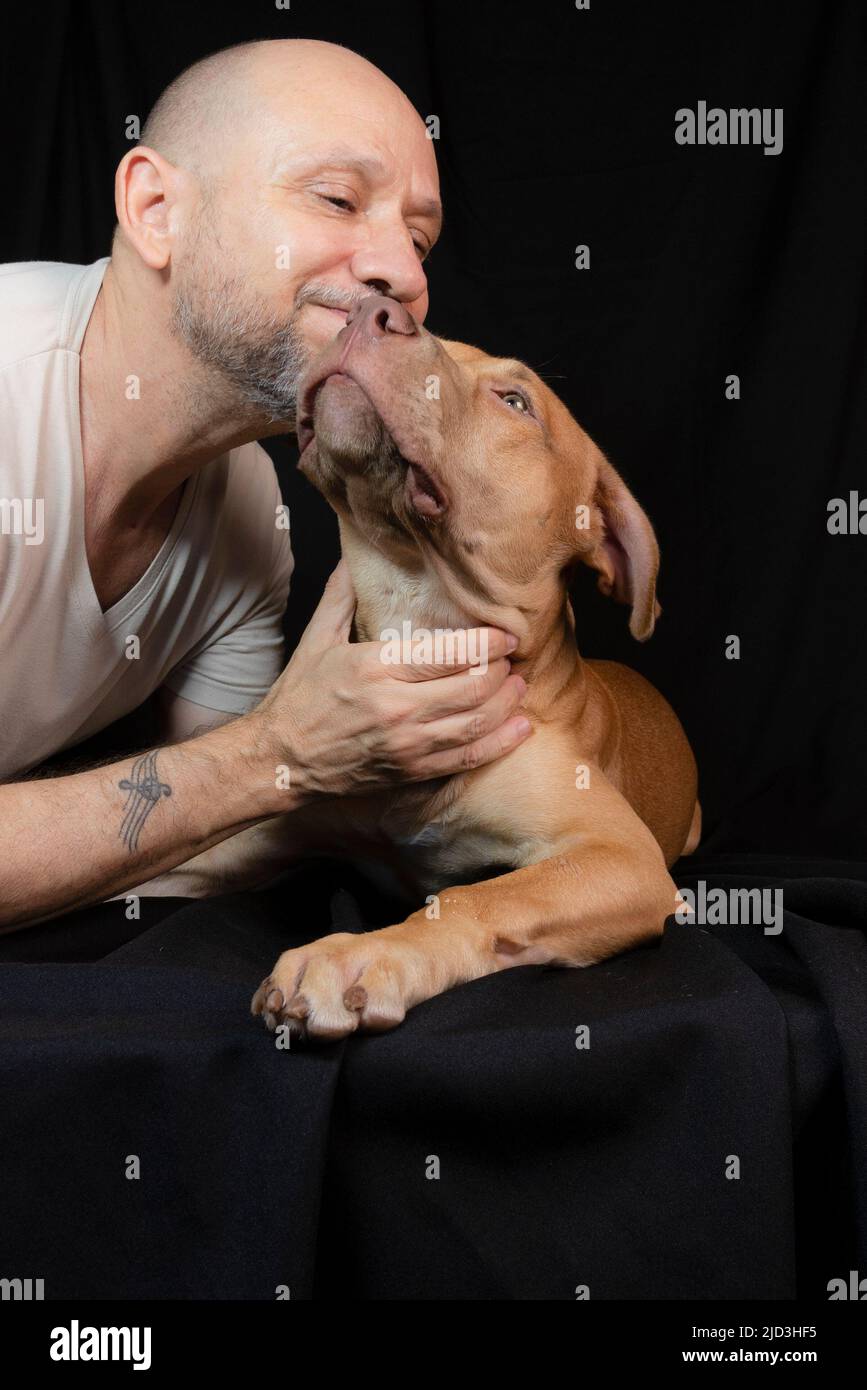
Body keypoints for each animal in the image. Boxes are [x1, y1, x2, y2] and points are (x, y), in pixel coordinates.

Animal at [248, 293, 697, 1039]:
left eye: (516, 402)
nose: (371, 307)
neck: (415, 604)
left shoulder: (616, 856)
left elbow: (476, 898)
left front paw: (365, 952)